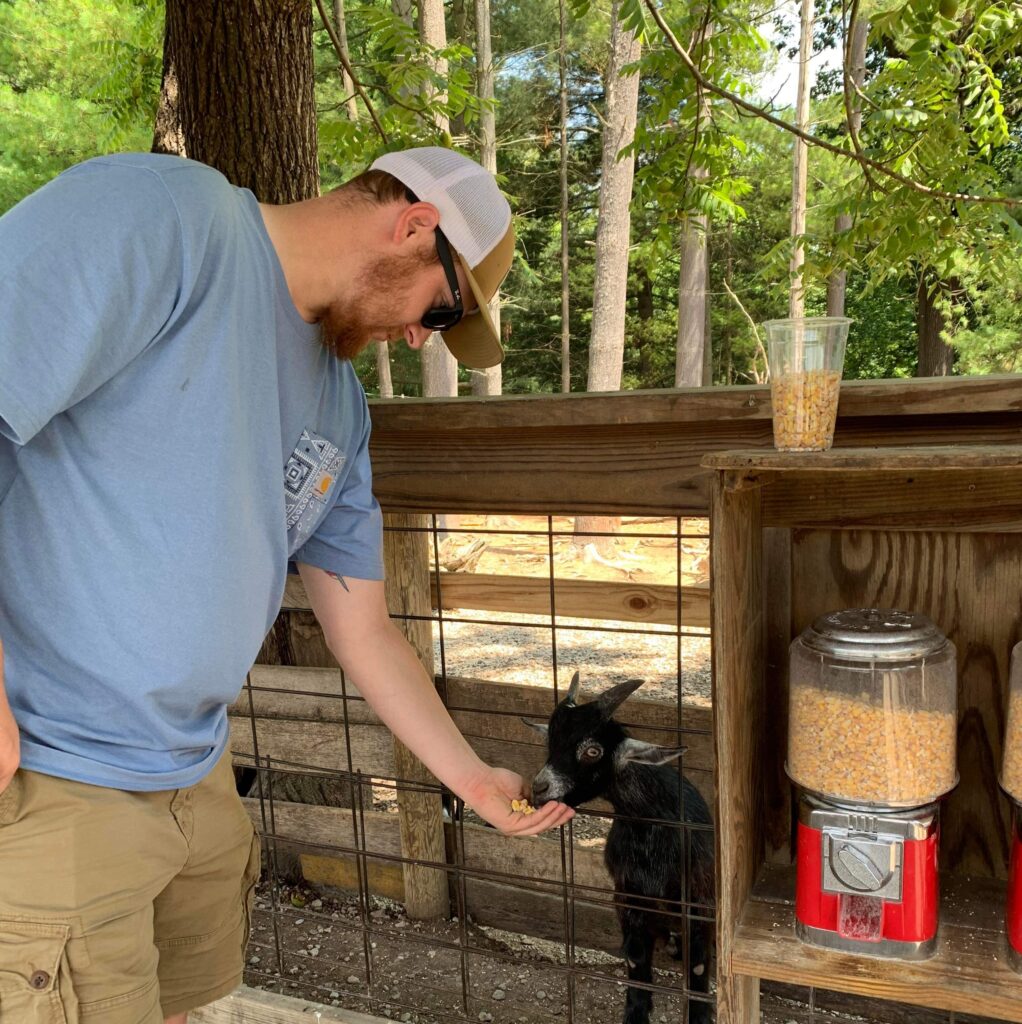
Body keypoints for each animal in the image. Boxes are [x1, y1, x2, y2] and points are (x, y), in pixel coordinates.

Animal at [524, 671, 716, 1024]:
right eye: (551, 741)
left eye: (592, 751)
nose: (539, 788)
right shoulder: (627, 895)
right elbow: (635, 958)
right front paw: (636, 1013)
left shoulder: (700, 898)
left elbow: (697, 965)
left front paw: (699, 1016)